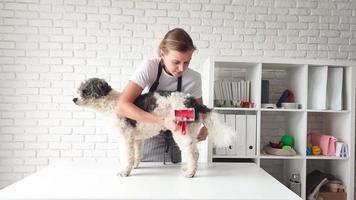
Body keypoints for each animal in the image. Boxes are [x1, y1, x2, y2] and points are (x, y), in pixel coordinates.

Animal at [73, 77, 236, 177]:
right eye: (79, 90)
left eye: (85, 91)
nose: (74, 99)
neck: (111, 104)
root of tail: (194, 103)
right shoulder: (136, 139)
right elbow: (136, 155)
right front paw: (135, 166)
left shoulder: (125, 138)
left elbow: (127, 156)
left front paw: (125, 171)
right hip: (189, 132)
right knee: (191, 153)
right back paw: (188, 168)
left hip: (181, 132)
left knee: (194, 154)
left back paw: (190, 173)